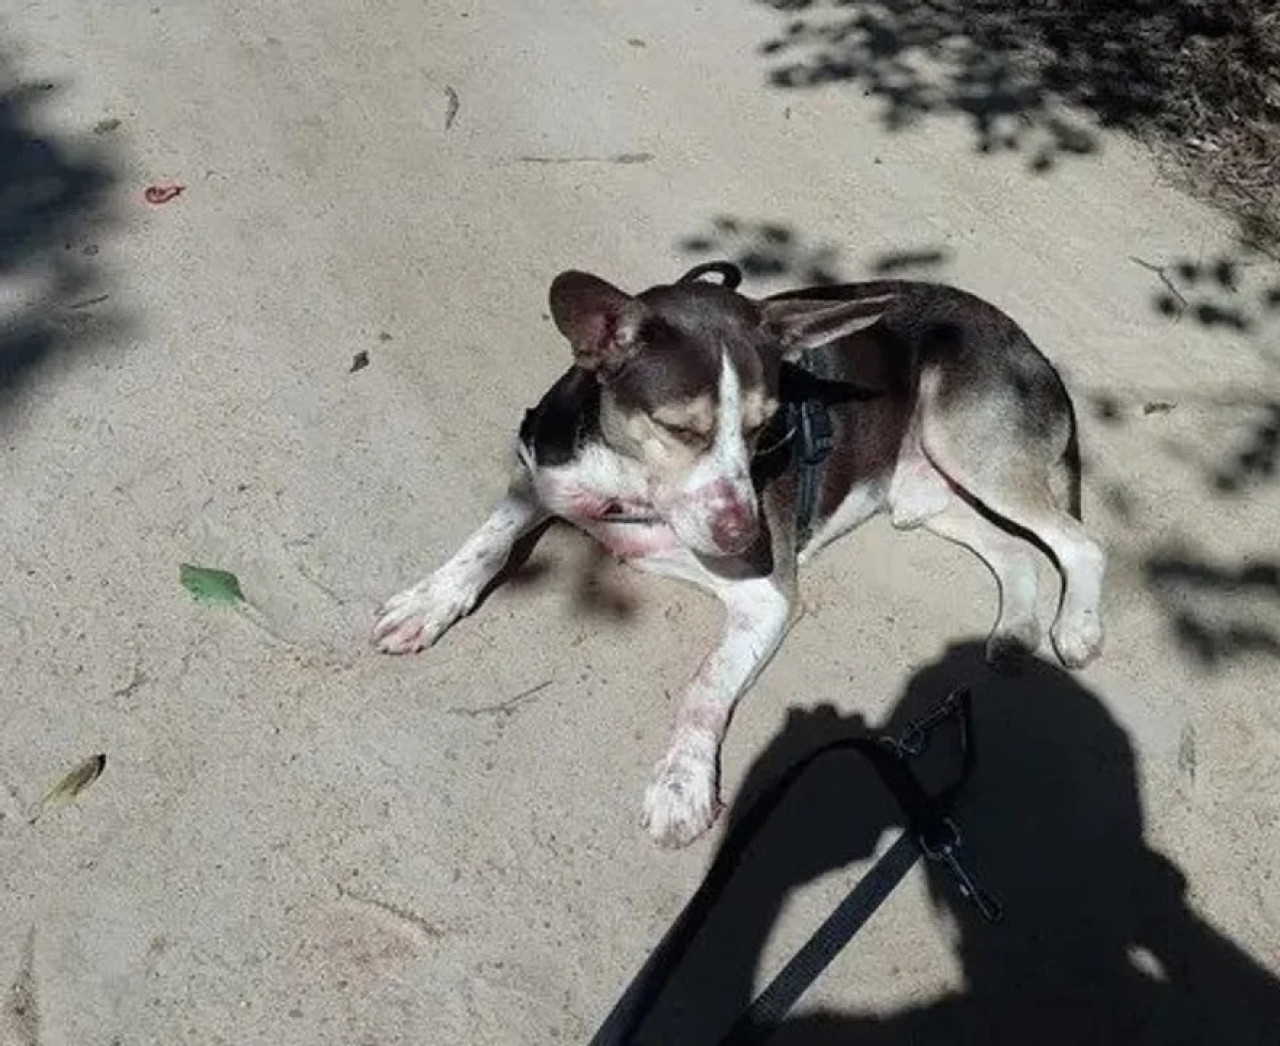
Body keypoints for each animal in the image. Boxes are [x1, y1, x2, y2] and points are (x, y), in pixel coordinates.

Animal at [368, 261, 1100, 850]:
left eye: (766, 426)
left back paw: (1076, 627)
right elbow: (485, 543)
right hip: (926, 492)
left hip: (967, 446)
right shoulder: (541, 476)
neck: (626, 487)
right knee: (1015, 549)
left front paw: (683, 784)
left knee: (1080, 543)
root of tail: (1032, 349)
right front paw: (430, 600)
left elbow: (706, 685)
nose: (746, 538)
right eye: (678, 428)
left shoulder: (765, 597)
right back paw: (1015, 630)